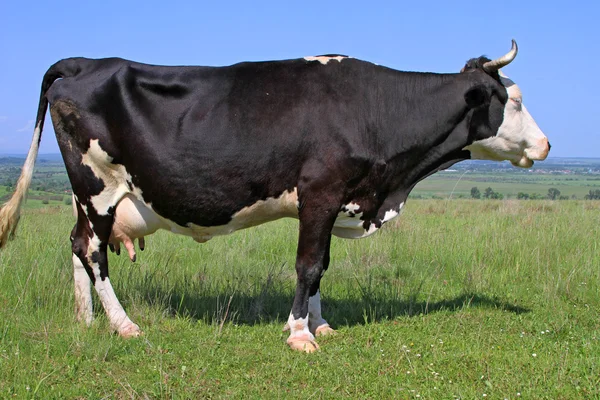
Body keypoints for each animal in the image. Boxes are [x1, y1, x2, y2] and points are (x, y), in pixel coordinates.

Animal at [0, 40, 548, 352]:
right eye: (515, 100)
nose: (545, 144)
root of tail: (87, 62)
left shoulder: (336, 198)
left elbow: (323, 264)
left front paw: (321, 325)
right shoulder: (320, 192)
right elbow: (307, 264)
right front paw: (299, 333)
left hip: (86, 195)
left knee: (77, 245)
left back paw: (85, 320)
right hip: (99, 184)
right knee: (93, 251)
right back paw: (124, 325)